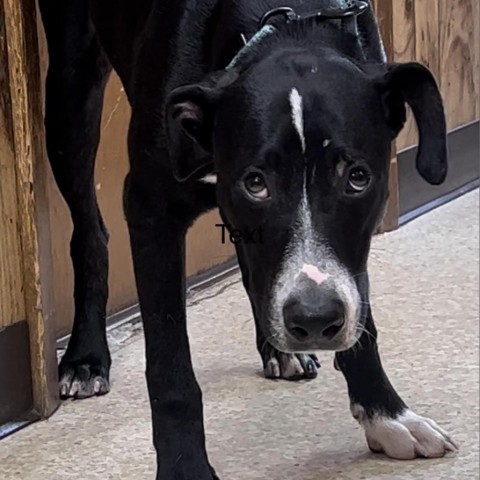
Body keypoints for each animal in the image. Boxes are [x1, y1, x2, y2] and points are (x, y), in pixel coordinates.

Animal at [39, 0, 456, 478]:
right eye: (255, 183)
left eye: (357, 178)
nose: (315, 320)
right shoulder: (151, 209)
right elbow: (170, 369)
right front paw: (185, 468)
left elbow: (361, 317)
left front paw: (386, 414)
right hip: (71, 93)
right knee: (90, 232)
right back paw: (85, 357)